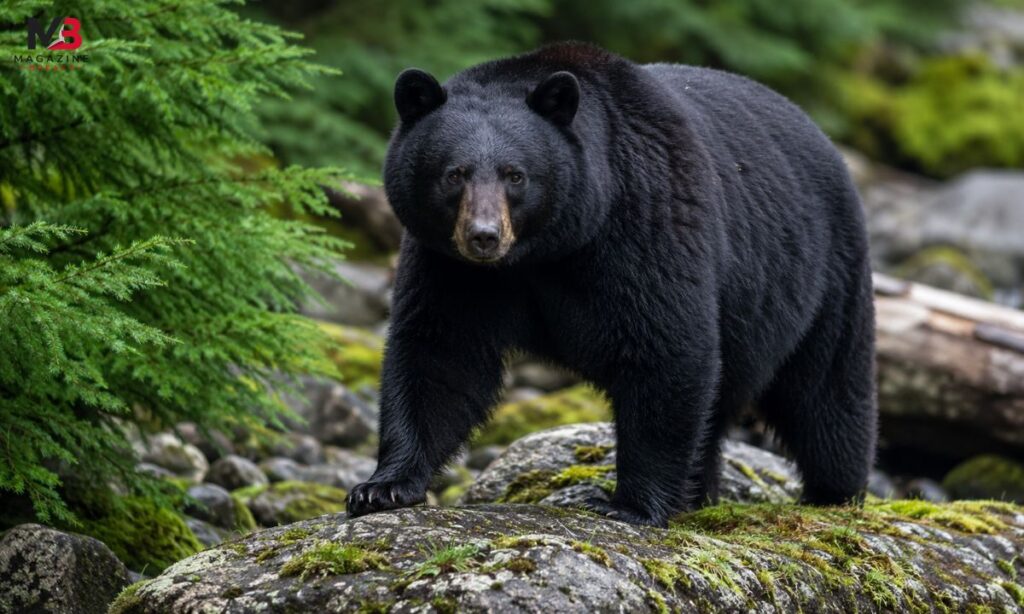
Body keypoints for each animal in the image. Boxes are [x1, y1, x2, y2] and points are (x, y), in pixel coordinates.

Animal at [346, 42, 877, 527]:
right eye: (454, 174)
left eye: (515, 175)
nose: (483, 236)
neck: (546, 249)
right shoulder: (449, 266)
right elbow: (439, 352)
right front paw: (383, 487)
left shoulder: (644, 220)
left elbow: (664, 346)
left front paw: (628, 505)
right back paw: (698, 494)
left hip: (823, 271)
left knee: (828, 389)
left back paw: (834, 494)